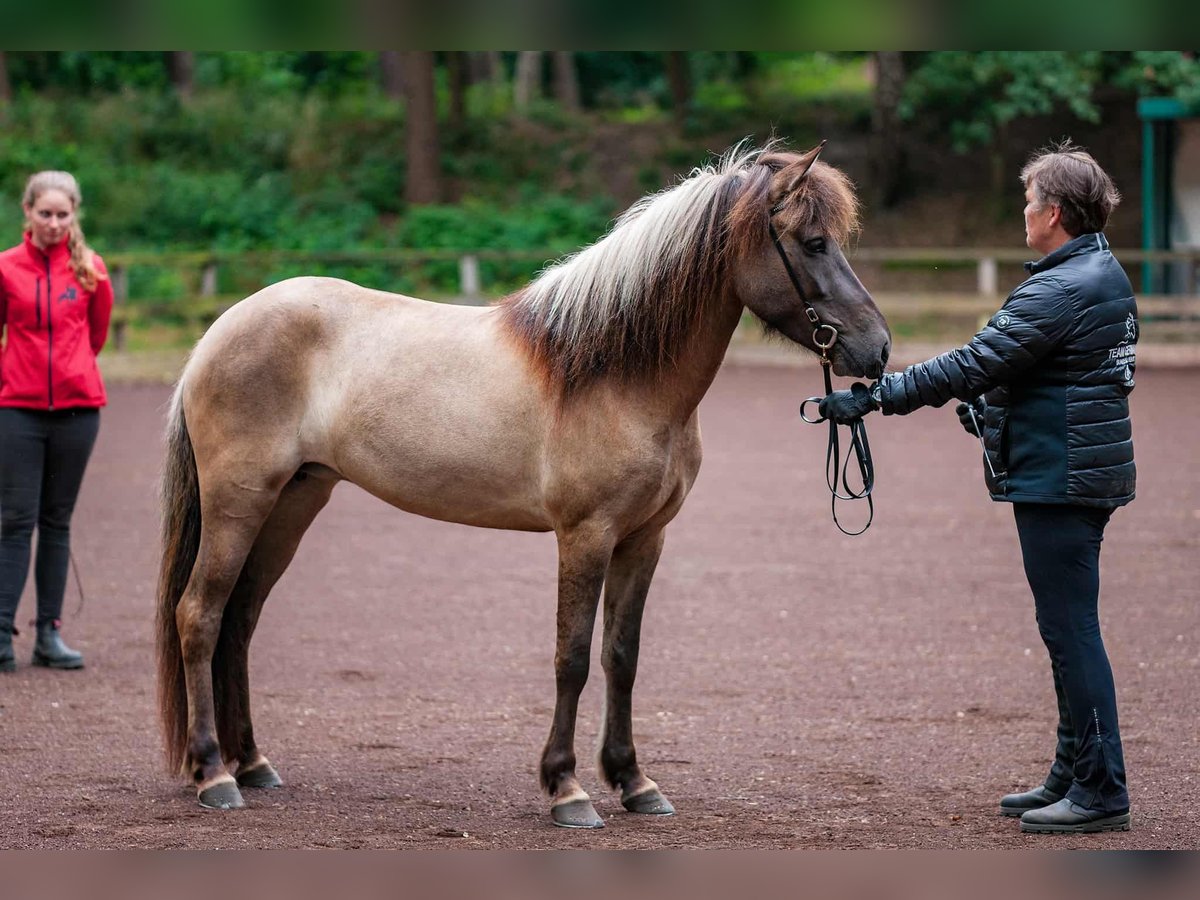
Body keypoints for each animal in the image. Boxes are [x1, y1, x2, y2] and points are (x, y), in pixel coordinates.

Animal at [154, 142, 892, 830]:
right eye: (814, 243)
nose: (878, 350)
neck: (614, 371)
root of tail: (217, 333)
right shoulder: (585, 536)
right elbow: (572, 657)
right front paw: (567, 788)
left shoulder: (645, 539)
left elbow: (622, 656)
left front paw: (634, 782)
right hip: (239, 502)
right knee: (199, 615)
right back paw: (214, 773)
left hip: (294, 501)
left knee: (241, 618)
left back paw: (253, 764)